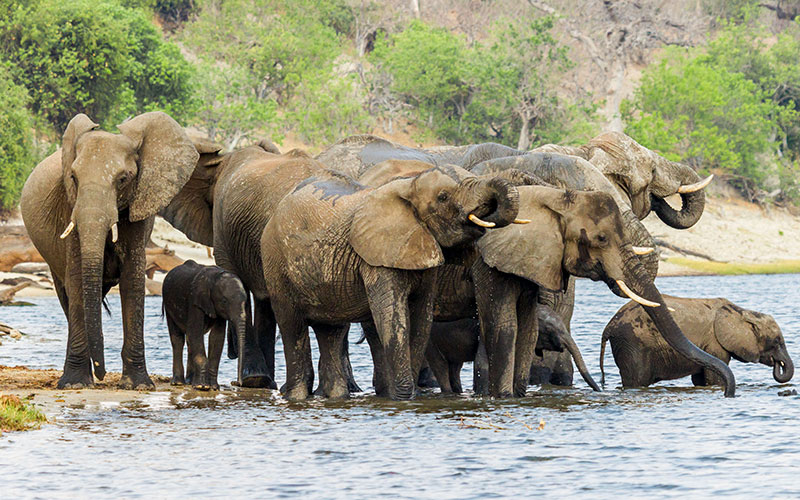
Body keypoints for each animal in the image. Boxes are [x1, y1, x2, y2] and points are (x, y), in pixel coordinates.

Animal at [21, 112, 199, 390]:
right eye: (73, 178)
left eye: (123, 179)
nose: (102, 373)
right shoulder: (71, 205)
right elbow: (77, 279)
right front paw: (75, 385)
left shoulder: (141, 204)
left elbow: (133, 280)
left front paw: (138, 385)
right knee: (66, 295)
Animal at [162, 260, 247, 392]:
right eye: (224, 301)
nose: (238, 383)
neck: (215, 278)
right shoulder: (195, 301)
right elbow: (195, 332)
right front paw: (202, 386)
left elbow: (217, 337)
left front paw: (214, 387)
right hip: (168, 304)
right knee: (178, 339)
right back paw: (178, 383)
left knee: (189, 340)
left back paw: (190, 382)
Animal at [262, 166, 524, 400]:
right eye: (443, 197)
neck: (409, 186)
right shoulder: (378, 257)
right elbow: (393, 318)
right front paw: (402, 397)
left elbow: (421, 320)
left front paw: (405, 396)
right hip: (275, 264)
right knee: (292, 325)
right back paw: (296, 396)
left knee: (331, 332)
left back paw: (338, 397)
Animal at [472, 185, 736, 398]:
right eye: (601, 238)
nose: (727, 393)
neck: (551, 198)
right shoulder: (490, 264)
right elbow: (505, 326)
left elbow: (528, 328)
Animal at [600, 294, 792, 388]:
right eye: (777, 341)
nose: (778, 363)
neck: (741, 312)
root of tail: (609, 325)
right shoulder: (715, 344)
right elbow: (715, 380)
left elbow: (700, 380)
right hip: (633, 343)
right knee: (637, 380)